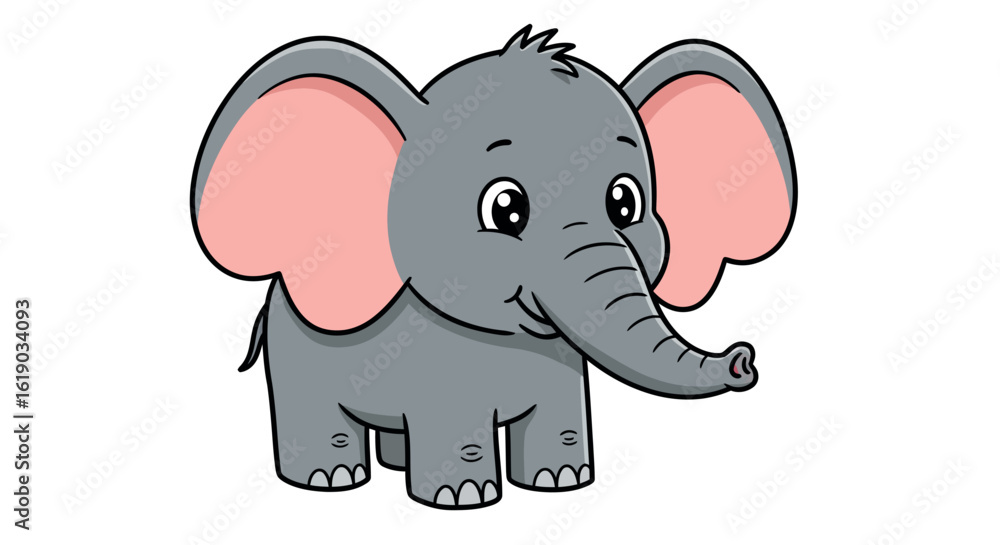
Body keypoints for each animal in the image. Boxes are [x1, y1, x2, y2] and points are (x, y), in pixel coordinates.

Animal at [190, 25, 796, 509]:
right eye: (505, 208)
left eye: (625, 203)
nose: (744, 359)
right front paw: (463, 498)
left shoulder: (561, 363)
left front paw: (562, 482)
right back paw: (330, 479)